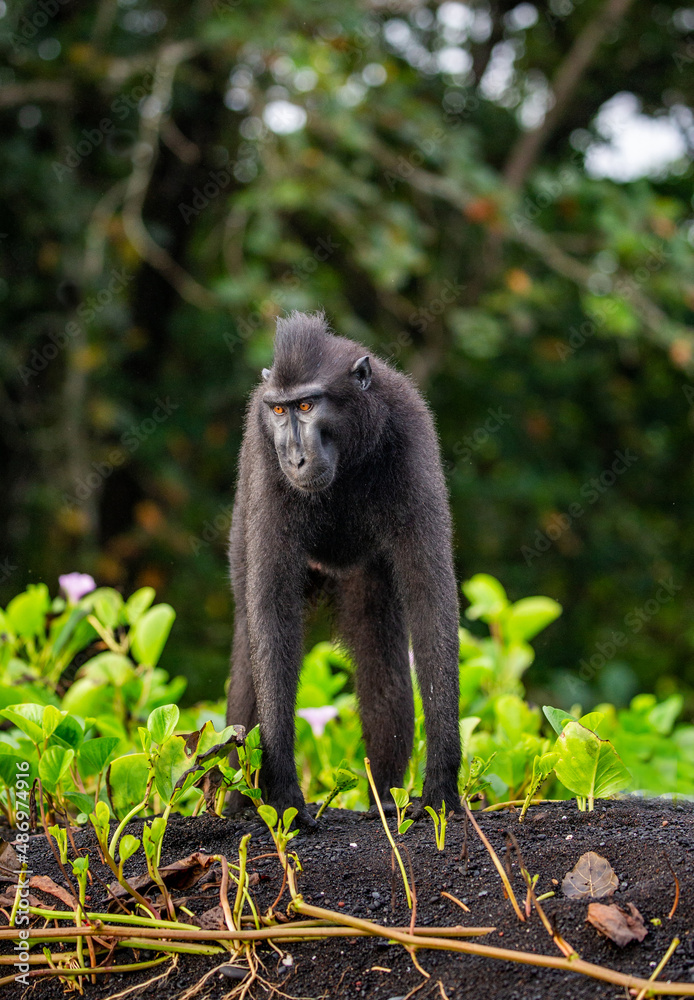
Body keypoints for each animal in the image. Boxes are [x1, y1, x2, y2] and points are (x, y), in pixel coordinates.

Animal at [226, 311, 461, 827]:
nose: (294, 457)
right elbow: (271, 611)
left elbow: (429, 596)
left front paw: (441, 784)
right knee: (250, 657)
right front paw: (283, 791)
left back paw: (384, 797)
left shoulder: (410, 433)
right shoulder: (264, 455)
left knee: (381, 660)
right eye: (279, 412)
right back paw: (234, 807)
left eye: (307, 404)